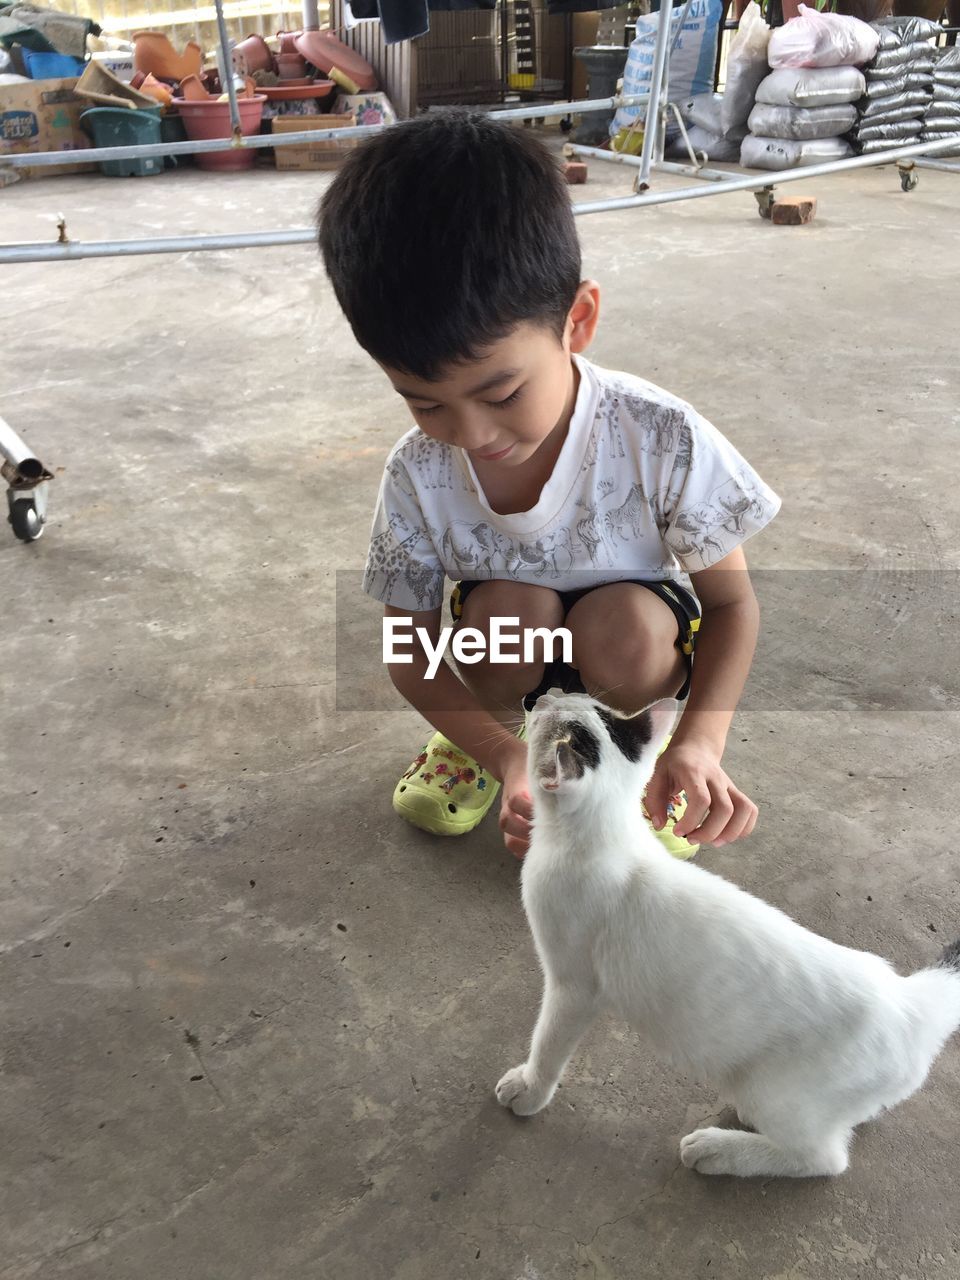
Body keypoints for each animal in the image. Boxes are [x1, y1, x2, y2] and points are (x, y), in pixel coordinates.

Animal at [496, 696, 960, 1172]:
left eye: (551, 715)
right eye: (580, 701)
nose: (539, 697)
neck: (604, 835)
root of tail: (911, 1000)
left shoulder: (574, 987)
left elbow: (548, 1042)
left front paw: (529, 1088)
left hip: (772, 1091)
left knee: (823, 1159)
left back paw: (719, 1149)